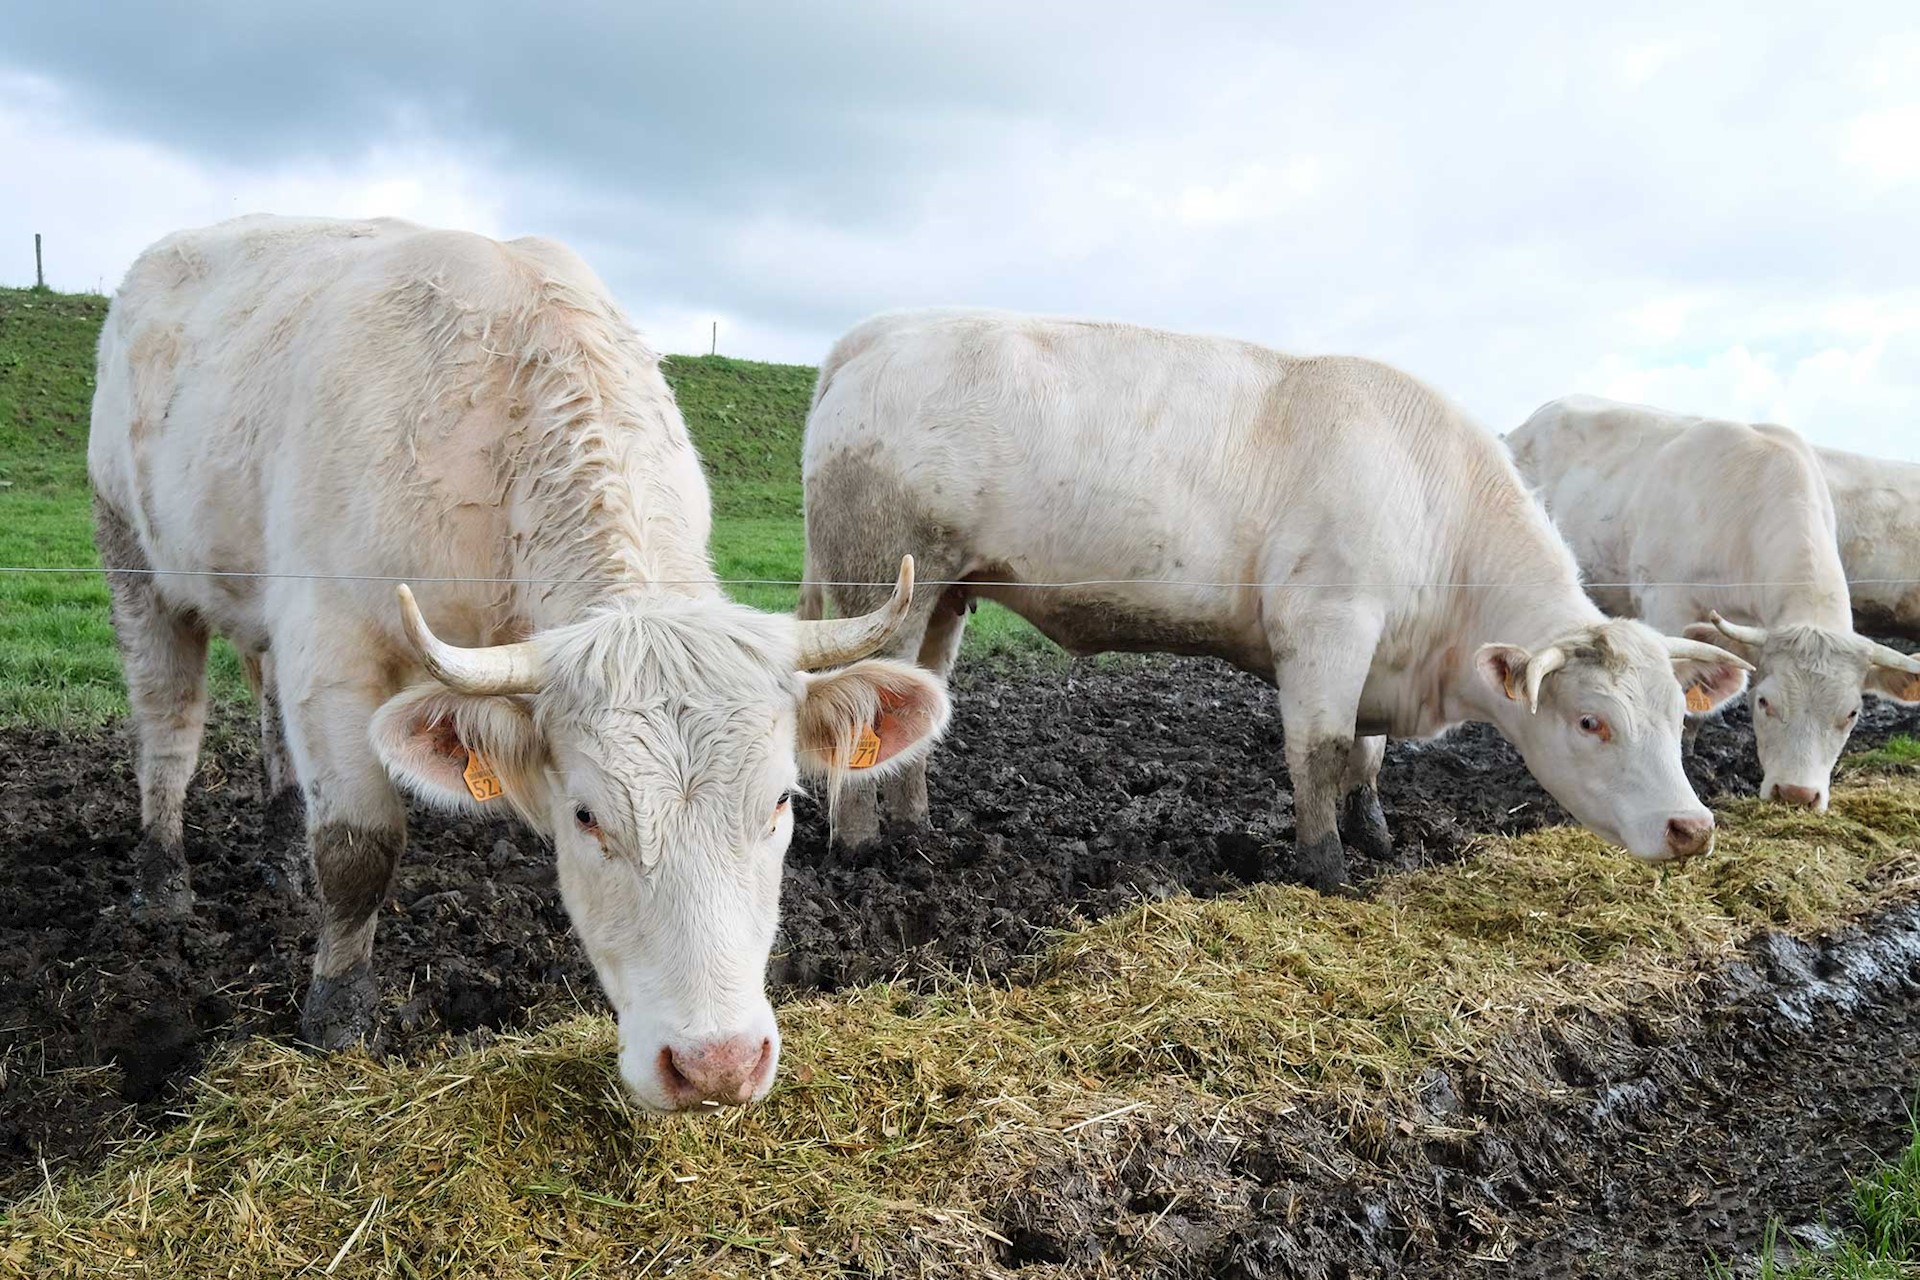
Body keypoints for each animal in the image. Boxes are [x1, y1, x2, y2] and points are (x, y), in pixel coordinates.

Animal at [93, 213, 948, 1113]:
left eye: (782, 800)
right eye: (587, 815)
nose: (716, 1063)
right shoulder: (329, 642)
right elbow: (359, 849)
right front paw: (336, 1018)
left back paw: (280, 858)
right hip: (131, 560)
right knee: (168, 730)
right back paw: (162, 883)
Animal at [798, 314, 1758, 886]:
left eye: (1678, 720)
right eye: (1592, 722)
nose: (1691, 828)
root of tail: (881, 331)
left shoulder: (1377, 654)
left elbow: (1367, 757)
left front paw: (1378, 839)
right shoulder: (1327, 624)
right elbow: (1322, 752)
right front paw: (1327, 866)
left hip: (946, 596)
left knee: (921, 703)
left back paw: (917, 833)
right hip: (882, 579)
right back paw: (860, 846)